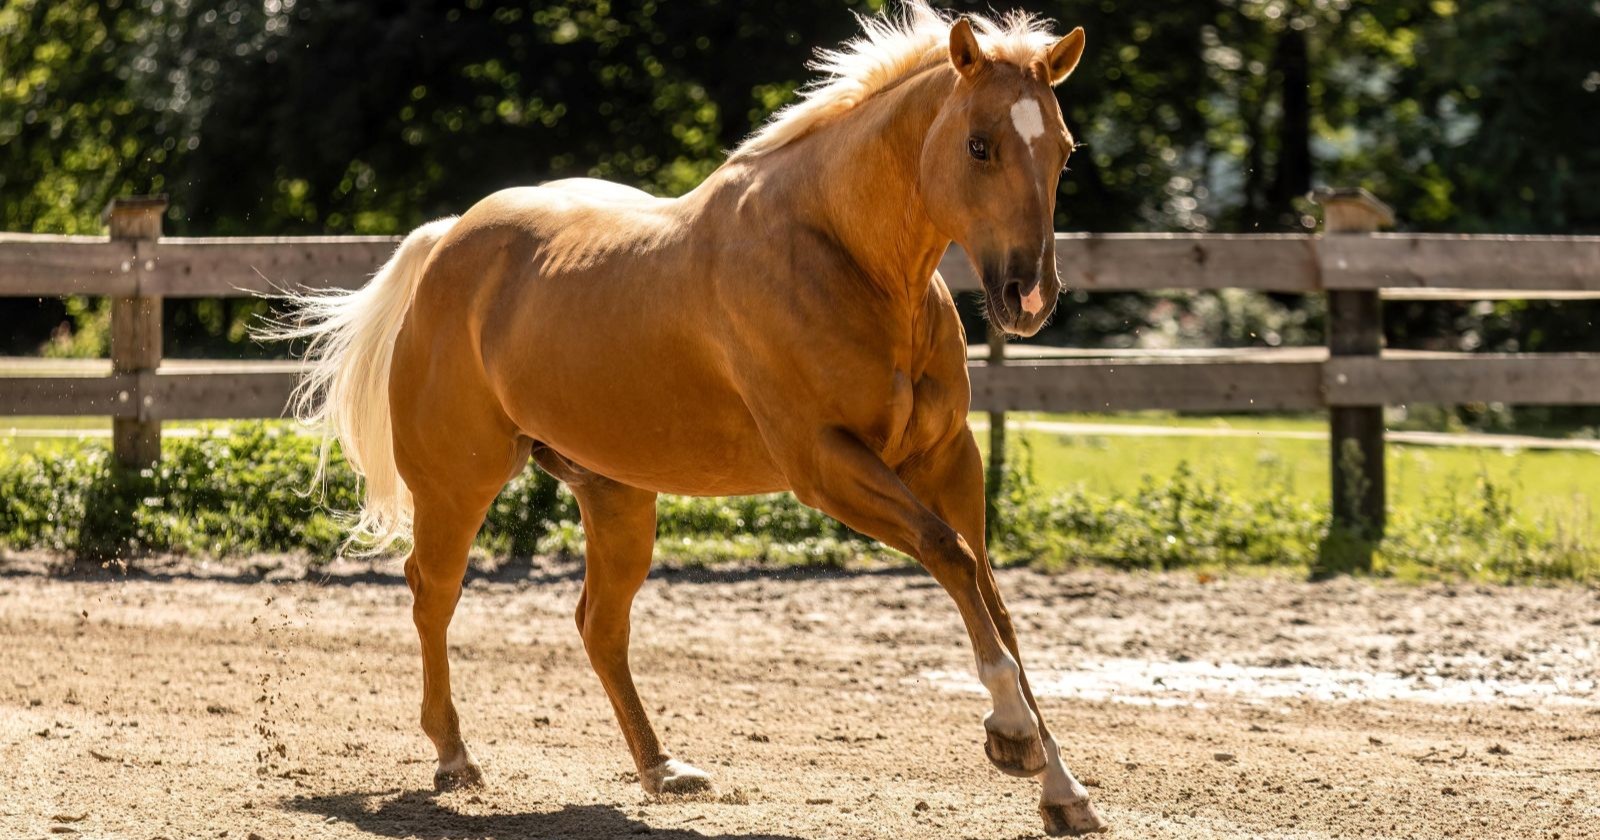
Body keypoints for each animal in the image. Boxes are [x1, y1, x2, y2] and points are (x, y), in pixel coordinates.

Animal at [270, 2, 1103, 834]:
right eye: (979, 145)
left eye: (1062, 151)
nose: (1029, 296)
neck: (840, 256)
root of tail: (446, 240)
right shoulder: (826, 464)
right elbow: (951, 557)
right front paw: (1013, 734)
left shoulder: (948, 458)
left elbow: (993, 597)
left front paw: (1060, 787)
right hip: (457, 485)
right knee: (433, 594)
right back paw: (454, 758)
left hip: (616, 495)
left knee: (599, 625)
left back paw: (661, 768)